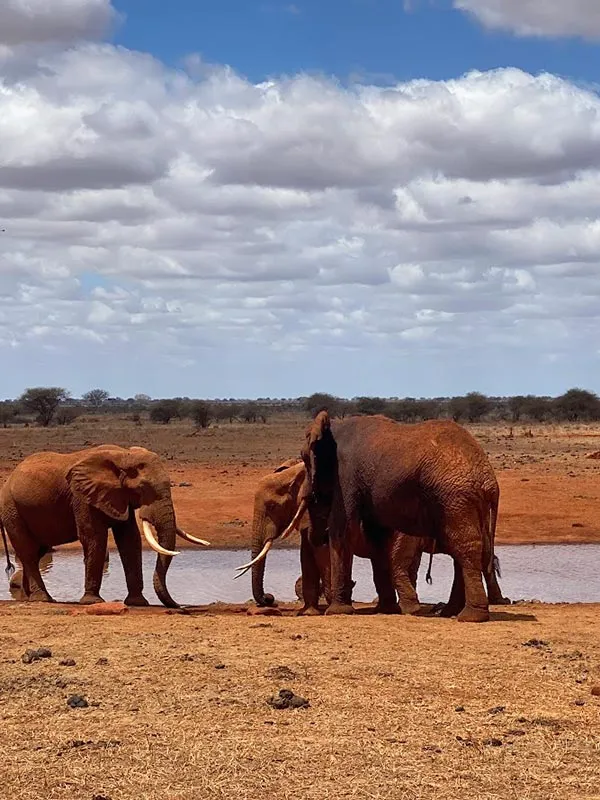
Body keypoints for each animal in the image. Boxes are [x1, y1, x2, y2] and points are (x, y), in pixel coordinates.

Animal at [0, 444, 209, 607]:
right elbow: (94, 538)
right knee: (28, 552)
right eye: (143, 488)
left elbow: (129, 539)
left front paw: (138, 602)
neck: (123, 455)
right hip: (11, 509)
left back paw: (27, 598)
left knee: (38, 552)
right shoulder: (82, 497)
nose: (180, 605)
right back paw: (43, 599)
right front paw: (92, 602)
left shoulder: (119, 496)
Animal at [294, 413, 504, 622]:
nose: (317, 536)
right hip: (469, 501)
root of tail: (491, 482)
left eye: (304, 458)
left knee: (464, 545)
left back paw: (470, 616)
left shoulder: (345, 475)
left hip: (455, 496)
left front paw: (337, 611)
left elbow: (343, 528)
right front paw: (386, 609)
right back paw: (452, 612)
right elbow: (376, 535)